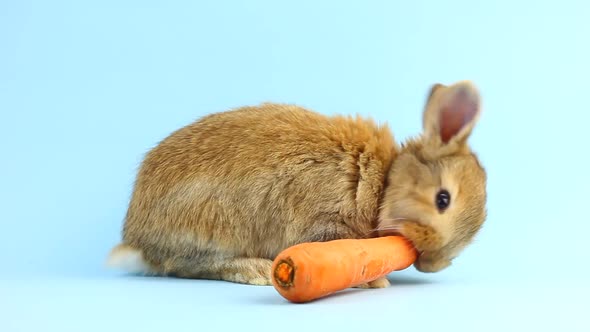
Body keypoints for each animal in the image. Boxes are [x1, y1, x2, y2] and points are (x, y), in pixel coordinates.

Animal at [107, 80, 490, 288]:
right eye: (443, 199)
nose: (433, 264)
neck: (384, 180)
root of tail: (135, 239)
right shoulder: (325, 222)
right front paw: (375, 280)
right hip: (213, 225)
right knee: (190, 265)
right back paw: (257, 270)